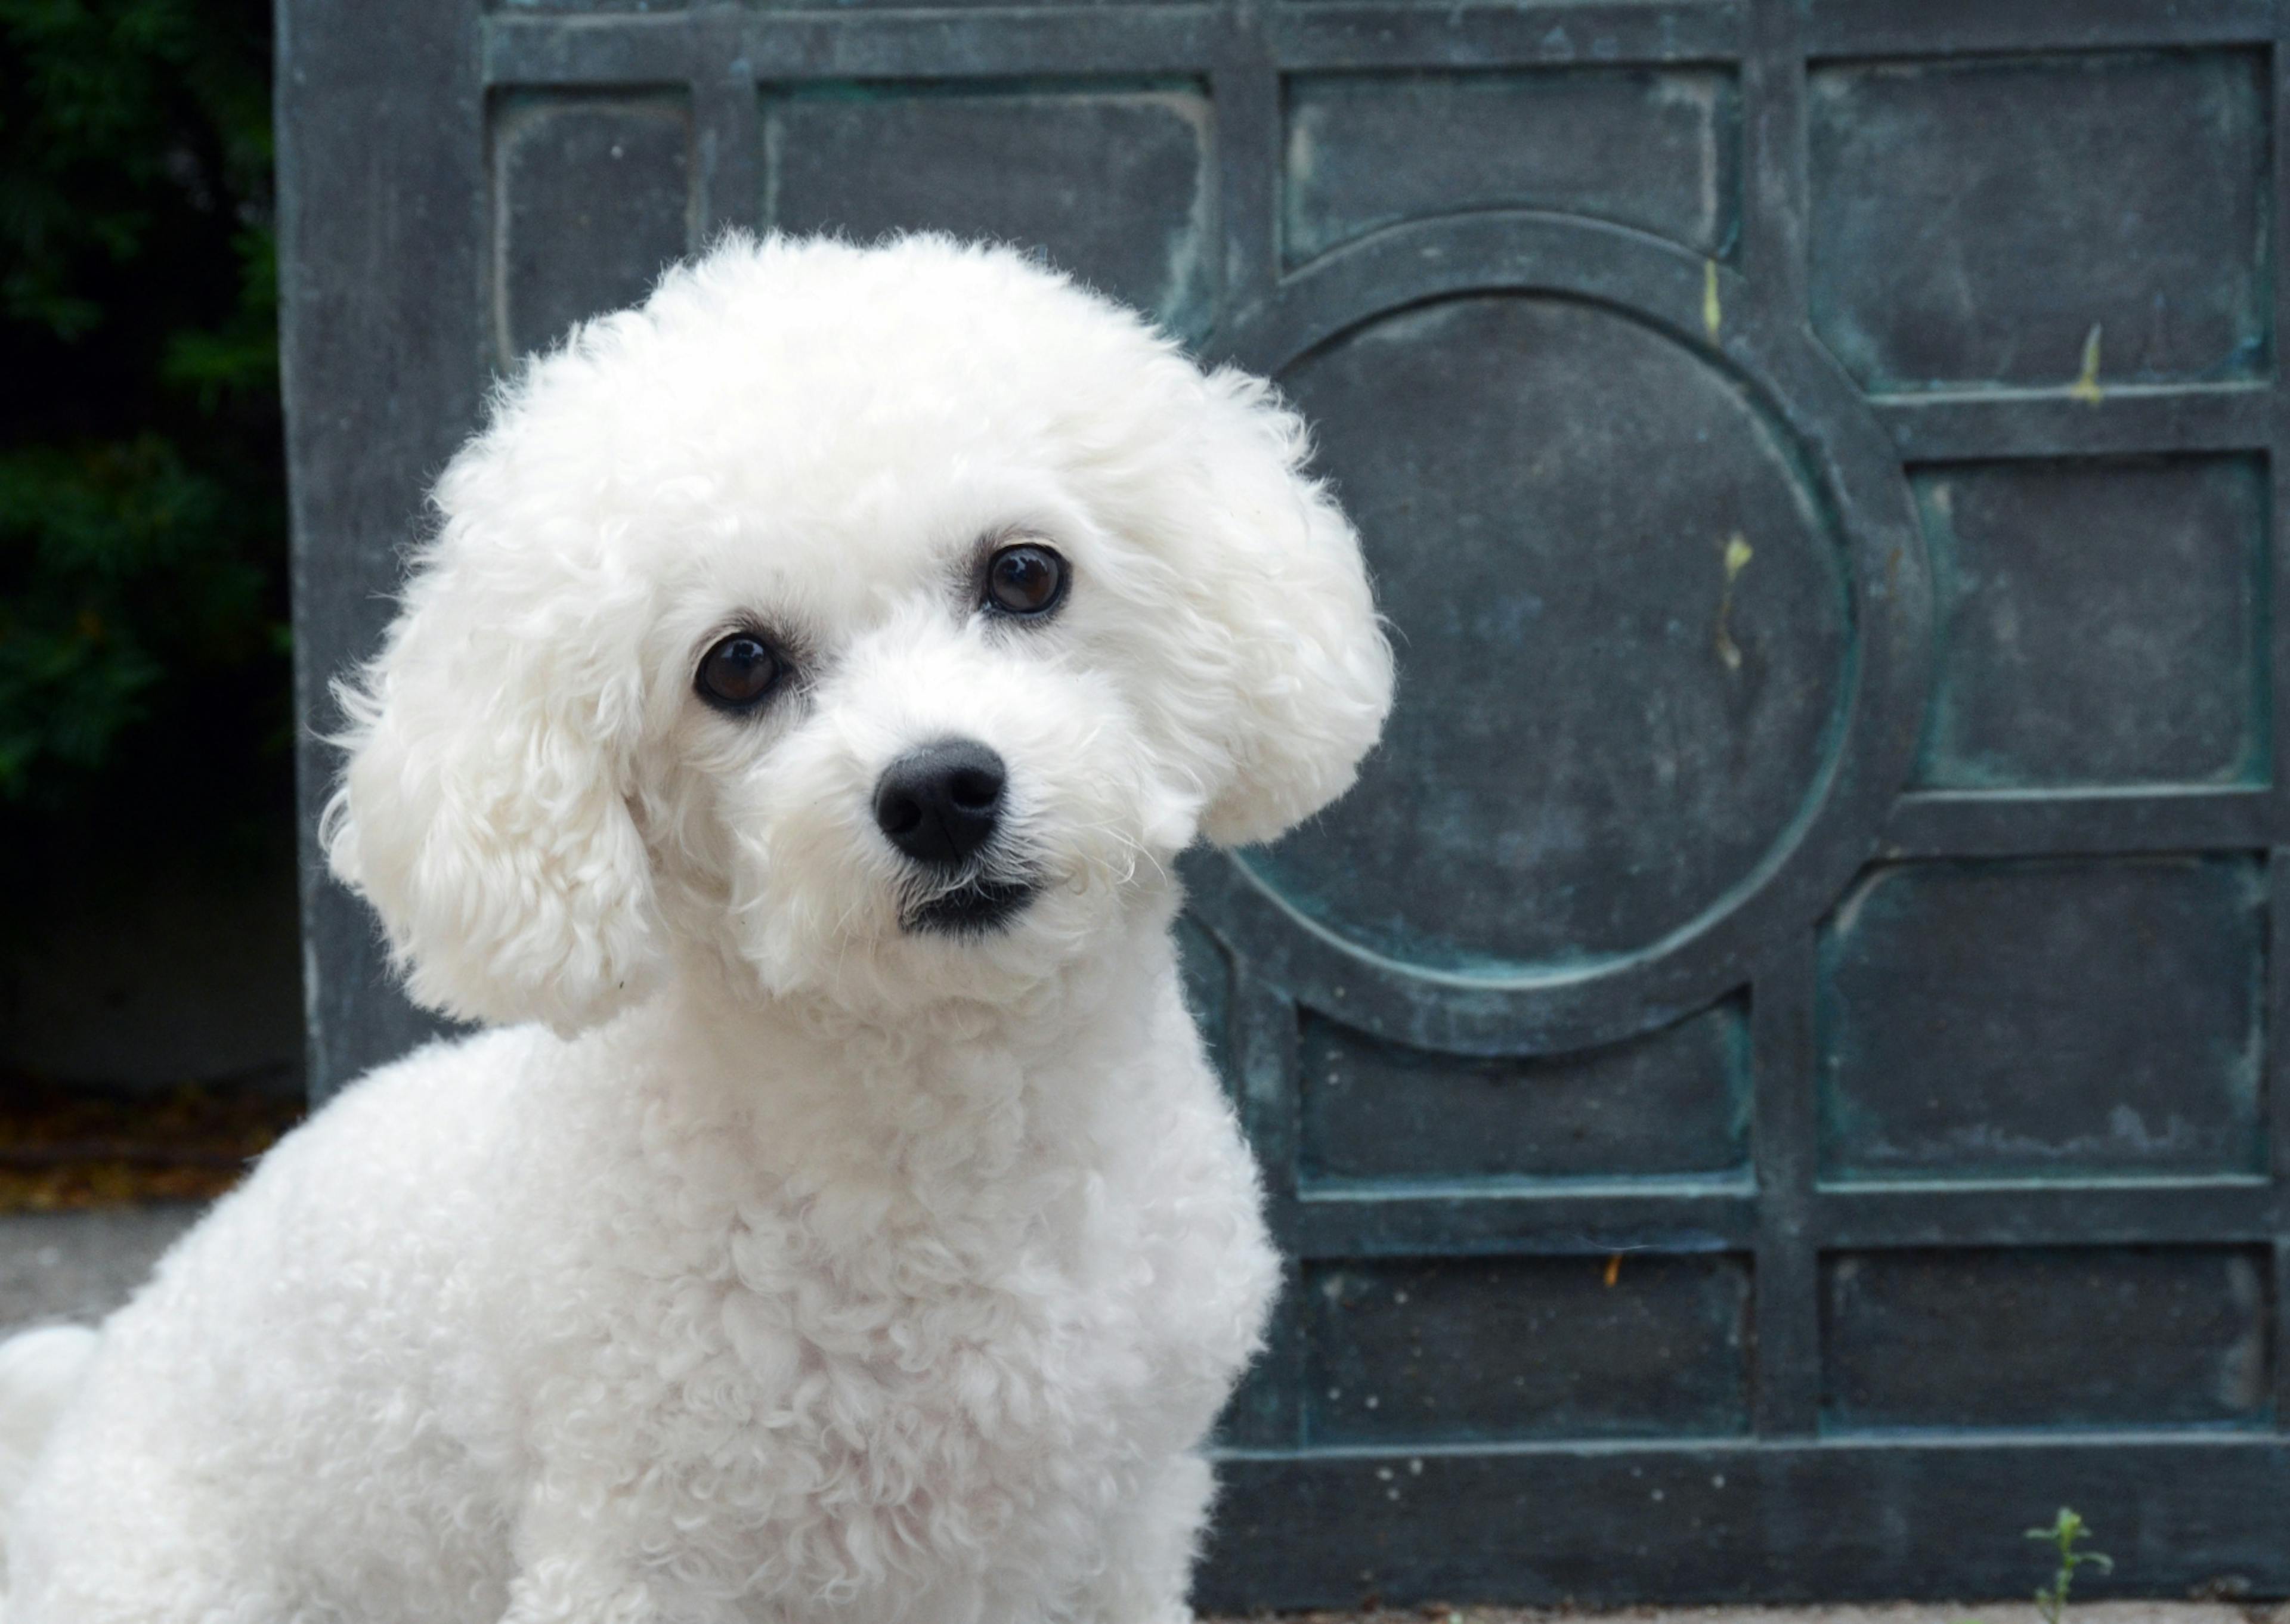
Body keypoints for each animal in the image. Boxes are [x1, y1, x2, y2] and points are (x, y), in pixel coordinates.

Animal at [0, 231, 1383, 1622]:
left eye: (1025, 573)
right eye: (738, 665)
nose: (940, 790)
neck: (947, 1150)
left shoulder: (1119, 1525)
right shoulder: (636, 1550)